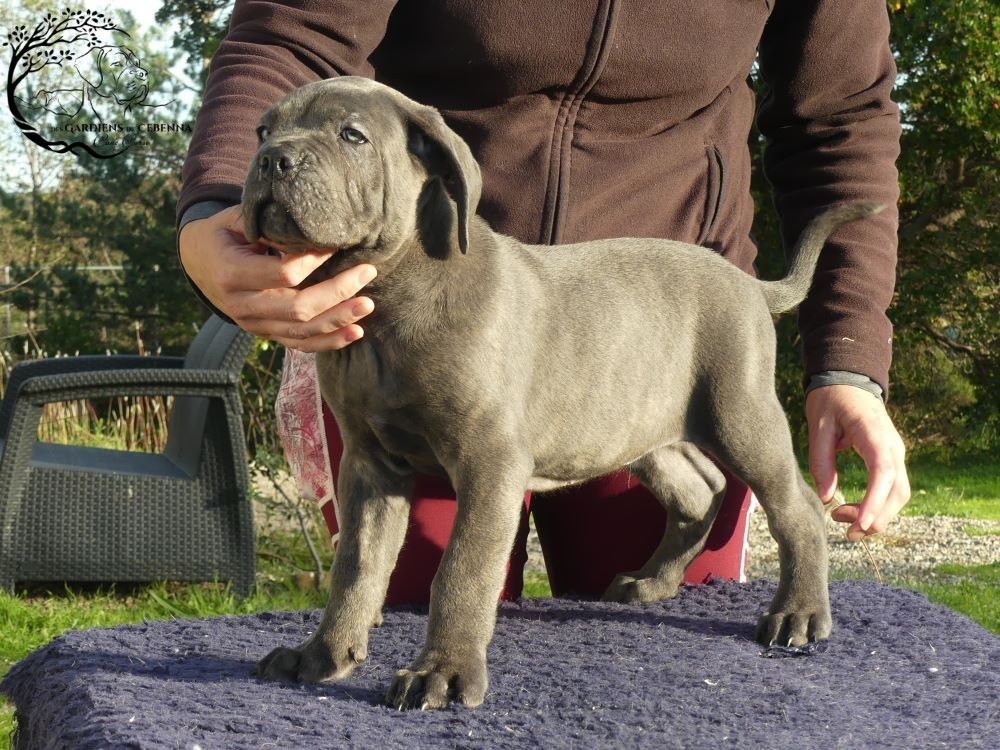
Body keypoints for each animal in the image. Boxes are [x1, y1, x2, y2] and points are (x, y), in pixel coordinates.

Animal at [248, 75, 884, 712]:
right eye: (263, 129)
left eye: (351, 135)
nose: (271, 160)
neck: (388, 306)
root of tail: (751, 283)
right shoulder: (369, 465)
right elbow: (354, 569)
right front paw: (323, 656)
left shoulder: (489, 462)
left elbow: (461, 571)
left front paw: (442, 674)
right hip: (642, 426)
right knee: (701, 490)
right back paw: (652, 581)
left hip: (740, 411)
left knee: (797, 507)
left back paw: (799, 614)